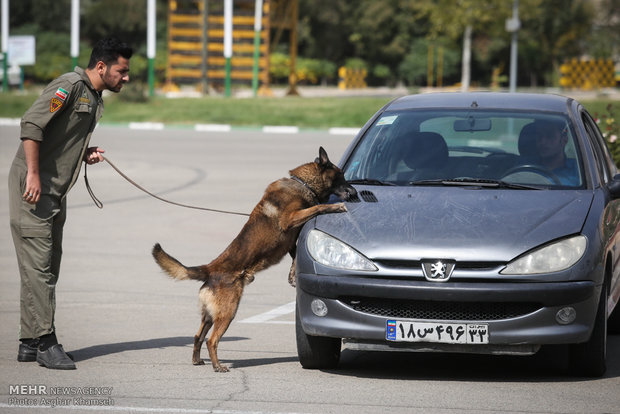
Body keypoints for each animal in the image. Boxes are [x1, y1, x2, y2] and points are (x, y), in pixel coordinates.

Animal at [153, 148, 356, 372]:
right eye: (341, 176)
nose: (355, 193)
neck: (303, 183)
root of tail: (211, 269)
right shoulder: (290, 220)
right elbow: (316, 208)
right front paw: (335, 207)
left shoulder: (290, 242)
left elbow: (295, 257)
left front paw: (292, 276)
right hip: (228, 312)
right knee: (211, 340)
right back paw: (218, 366)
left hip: (209, 316)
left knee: (198, 336)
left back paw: (198, 360)